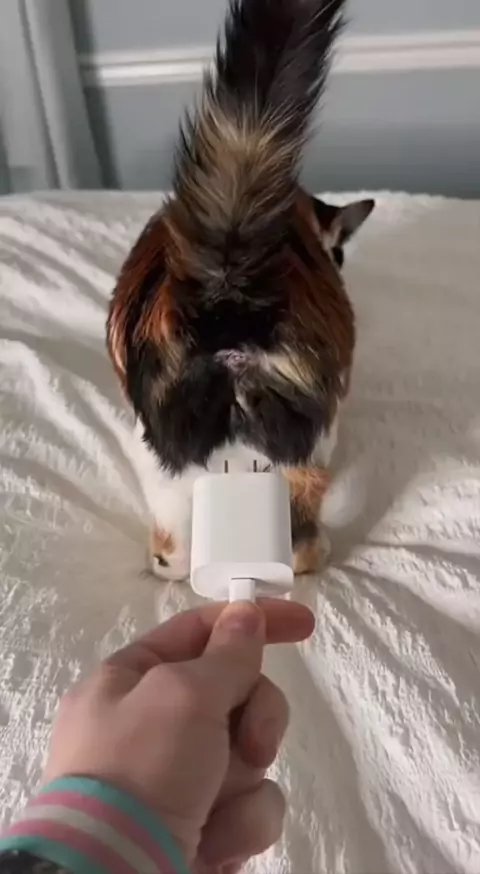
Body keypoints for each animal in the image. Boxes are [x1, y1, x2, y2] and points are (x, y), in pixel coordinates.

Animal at [107, 0, 374, 582]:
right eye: (340, 255)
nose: (340, 260)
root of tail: (226, 298)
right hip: (303, 448)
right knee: (300, 542)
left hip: (161, 456)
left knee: (176, 551)